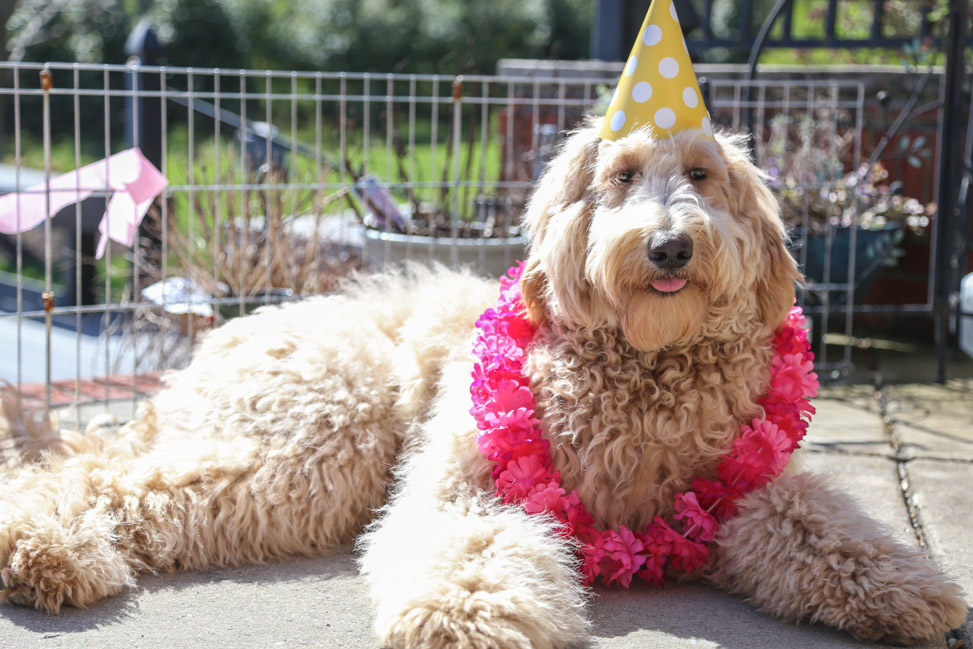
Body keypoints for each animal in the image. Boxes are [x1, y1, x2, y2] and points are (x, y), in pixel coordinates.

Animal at [0, 123, 964, 648]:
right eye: (618, 177)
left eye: (700, 174)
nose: (668, 247)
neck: (641, 367)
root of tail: (233, 326)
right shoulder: (468, 483)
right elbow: (471, 545)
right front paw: (465, 616)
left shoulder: (745, 488)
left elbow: (820, 526)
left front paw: (905, 587)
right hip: (318, 438)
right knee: (92, 476)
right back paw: (42, 550)